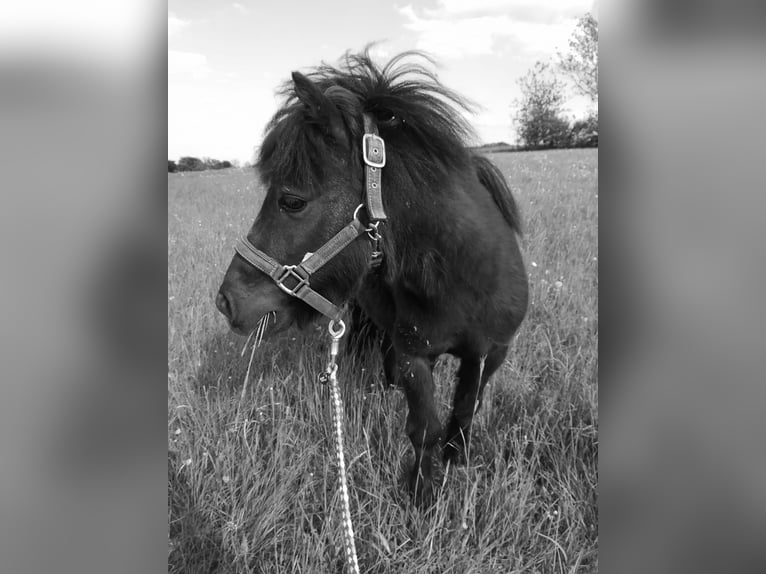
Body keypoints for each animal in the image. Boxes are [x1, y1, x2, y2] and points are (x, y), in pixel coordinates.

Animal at [216, 49, 528, 503]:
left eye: (292, 201)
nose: (226, 300)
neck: (463, 279)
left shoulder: (490, 353)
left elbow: (463, 414)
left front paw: (455, 465)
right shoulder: (416, 355)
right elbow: (425, 429)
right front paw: (423, 495)